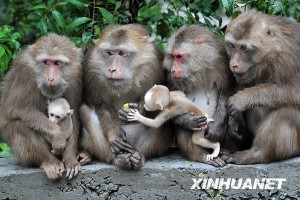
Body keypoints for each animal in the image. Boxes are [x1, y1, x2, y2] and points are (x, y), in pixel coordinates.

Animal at [0, 33, 82, 180]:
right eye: (46, 62)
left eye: (57, 63)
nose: (50, 78)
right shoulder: (26, 71)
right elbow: (17, 108)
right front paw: (57, 135)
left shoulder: (76, 74)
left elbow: (74, 116)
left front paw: (70, 160)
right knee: (18, 125)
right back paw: (49, 162)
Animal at [79, 24, 173, 170]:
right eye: (109, 53)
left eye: (122, 53)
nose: (112, 69)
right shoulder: (91, 68)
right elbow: (100, 103)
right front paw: (114, 135)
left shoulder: (155, 64)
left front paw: (136, 110)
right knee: (84, 110)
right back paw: (119, 160)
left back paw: (138, 158)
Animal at [162, 24, 234, 166]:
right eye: (172, 56)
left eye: (179, 56)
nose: (173, 69)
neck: (199, 67)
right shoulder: (170, 76)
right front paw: (187, 121)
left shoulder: (222, 58)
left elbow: (227, 89)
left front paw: (216, 128)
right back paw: (202, 155)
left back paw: (226, 151)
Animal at [221, 11, 300, 164]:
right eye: (232, 46)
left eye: (243, 48)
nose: (233, 64)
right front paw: (234, 119)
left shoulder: (290, 58)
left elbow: (295, 92)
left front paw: (242, 100)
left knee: (287, 111)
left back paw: (257, 154)